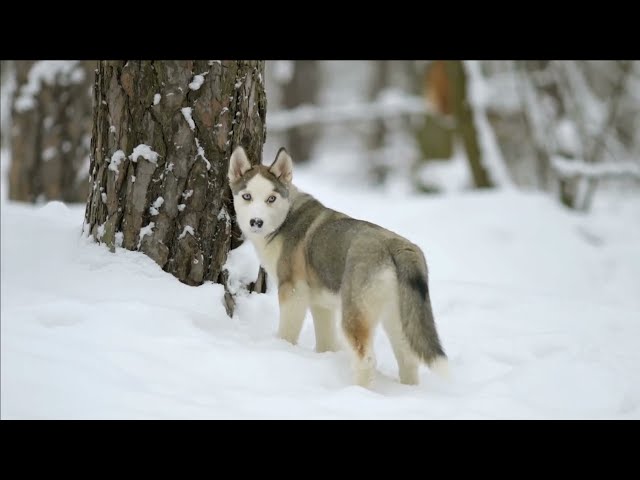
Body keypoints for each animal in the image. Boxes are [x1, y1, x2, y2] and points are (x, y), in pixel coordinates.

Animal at [228, 145, 448, 386]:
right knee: (408, 358)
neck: (284, 220)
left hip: (354, 313)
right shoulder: (321, 305)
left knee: (366, 359)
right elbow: (326, 341)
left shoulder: (292, 292)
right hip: (398, 315)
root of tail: (397, 246)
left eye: (271, 198)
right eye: (247, 196)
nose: (256, 222)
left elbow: (287, 333)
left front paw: (281, 349)